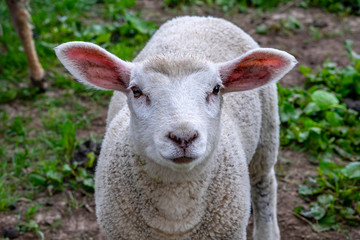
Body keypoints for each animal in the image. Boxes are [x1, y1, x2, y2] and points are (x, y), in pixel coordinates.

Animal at [54, 15, 296, 239]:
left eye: (216, 89)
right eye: (136, 91)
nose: (184, 137)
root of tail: (197, 17)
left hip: (266, 135)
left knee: (264, 184)